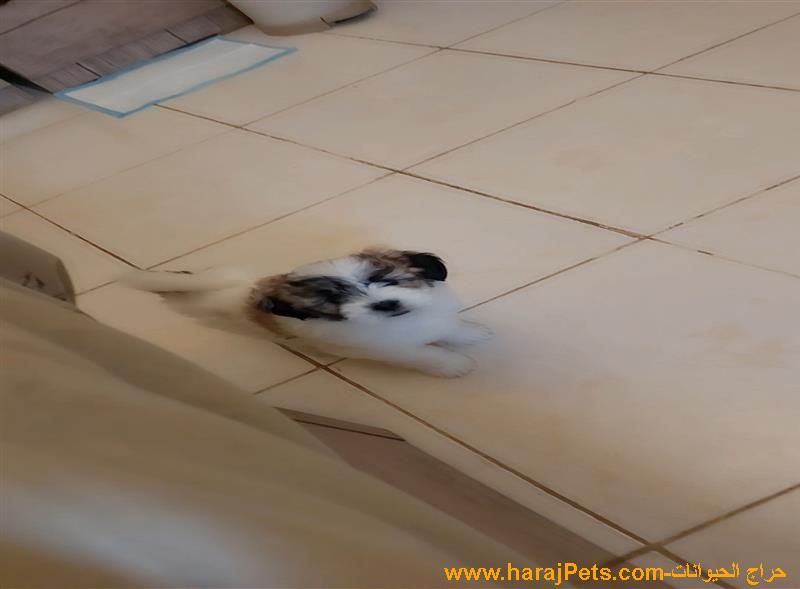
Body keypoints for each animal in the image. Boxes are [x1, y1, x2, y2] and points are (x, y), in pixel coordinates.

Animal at [121, 248, 491, 377]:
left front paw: (472, 333)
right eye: (333, 298)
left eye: (386, 279)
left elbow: (450, 327)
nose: (384, 303)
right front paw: (453, 364)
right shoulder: (387, 349)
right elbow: (423, 355)